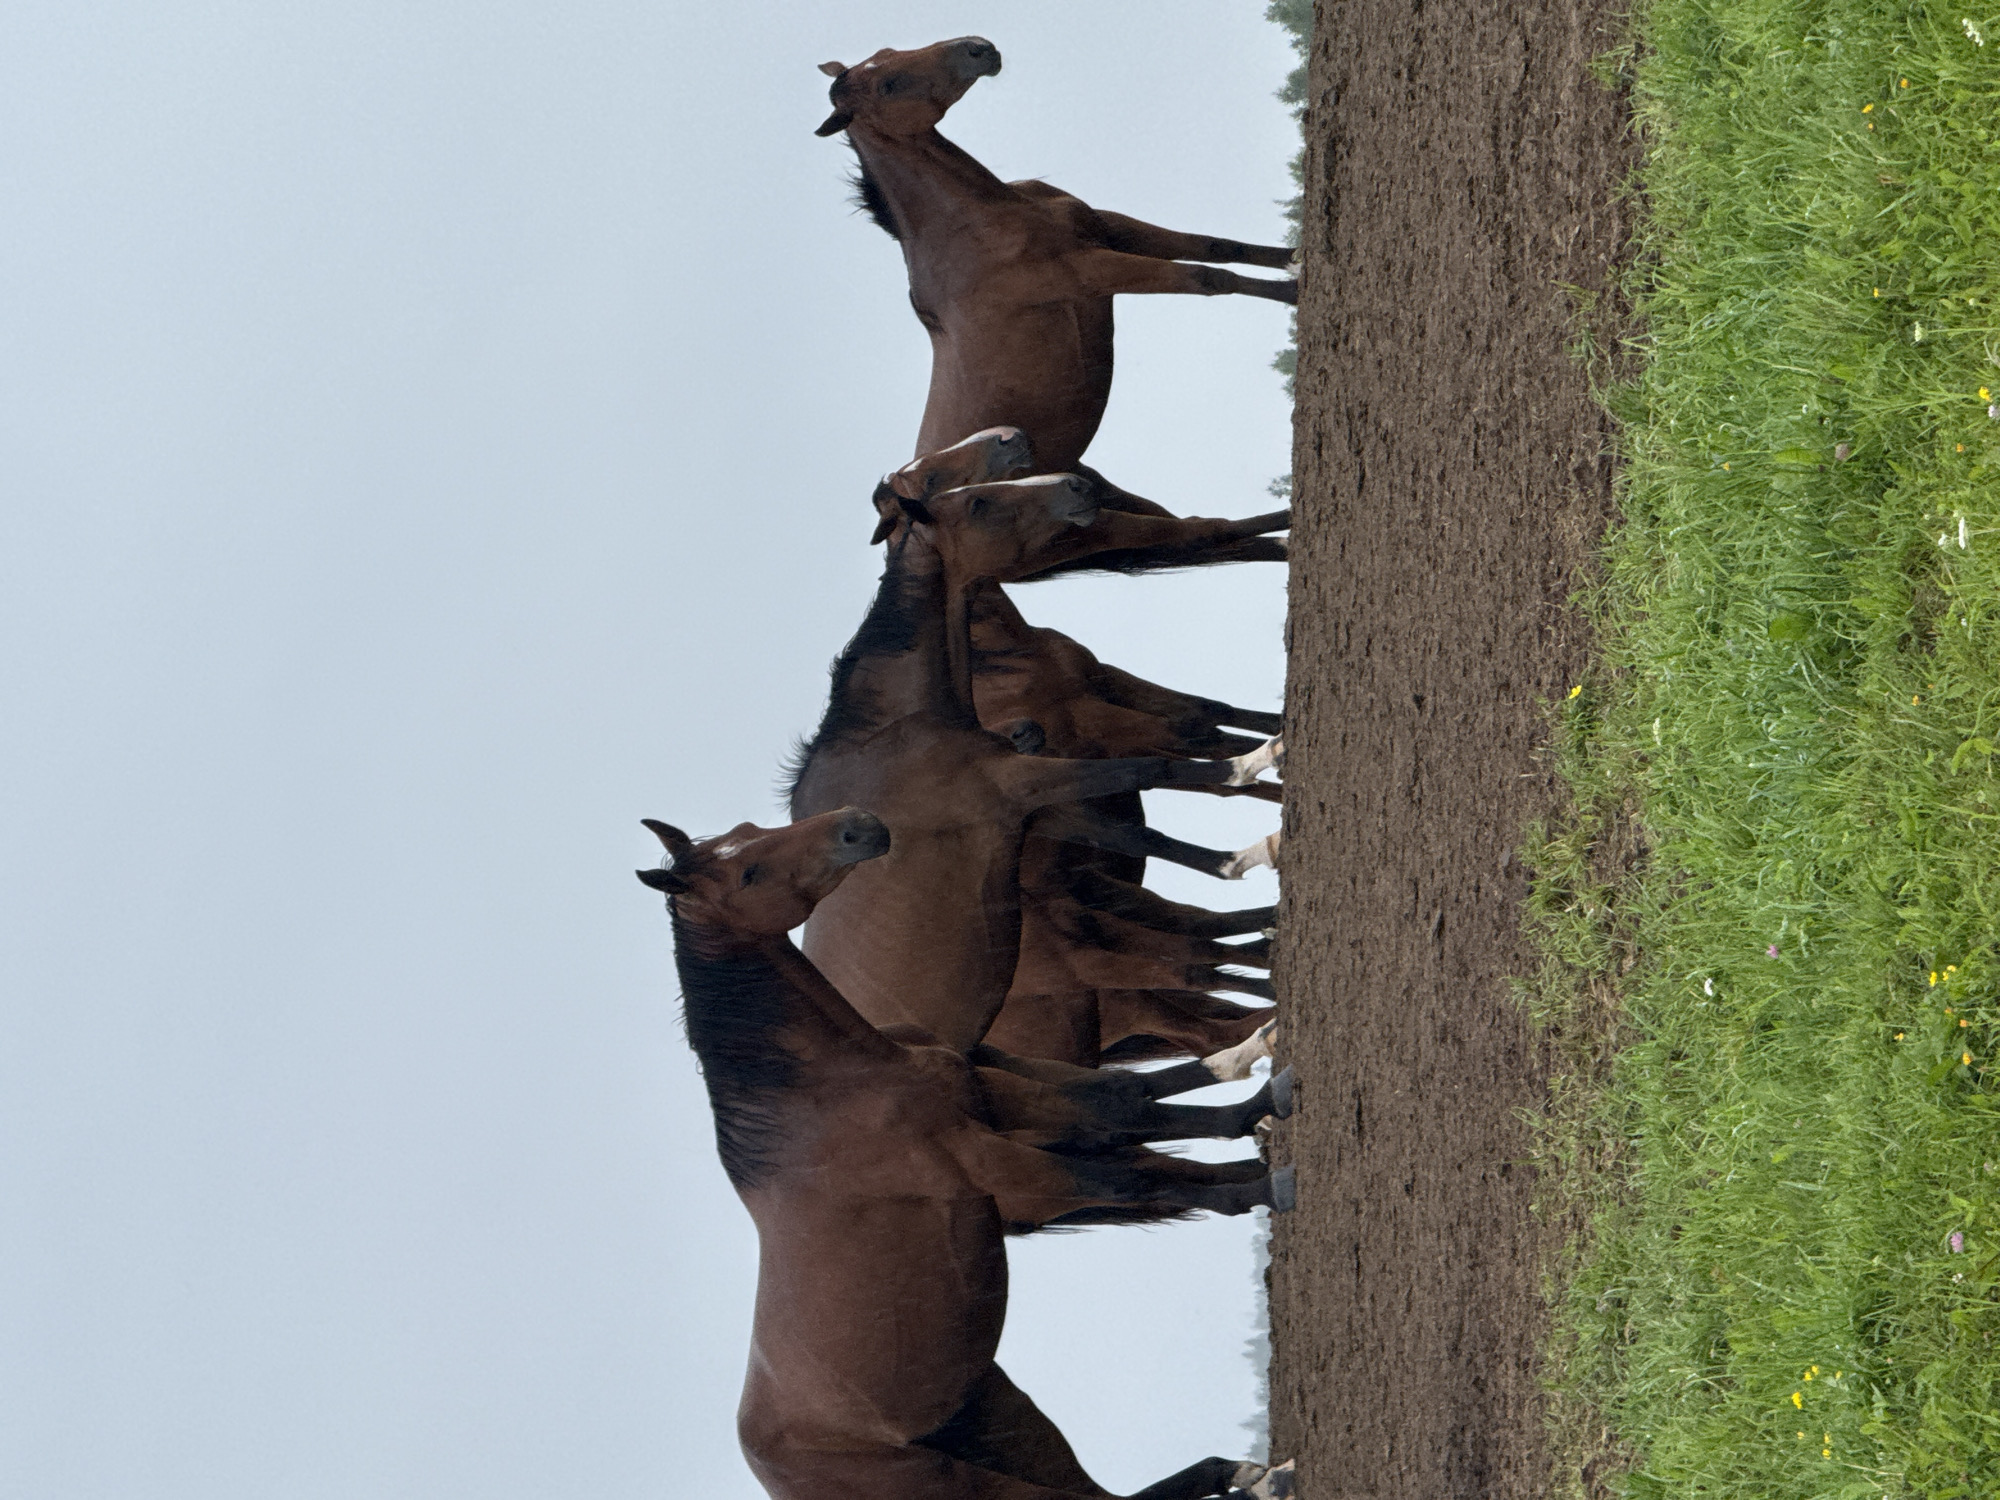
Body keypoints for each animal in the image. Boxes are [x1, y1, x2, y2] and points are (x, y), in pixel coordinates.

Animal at [636, 808, 1290, 1500]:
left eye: (749, 829)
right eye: (748, 873)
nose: (855, 825)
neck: (830, 1089)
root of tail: (774, 1470)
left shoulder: (999, 1098)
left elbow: (1126, 1101)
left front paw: (1257, 1080)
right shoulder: (990, 1160)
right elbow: (1127, 1175)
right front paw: (1264, 1182)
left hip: (1010, 1430)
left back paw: (1252, 1472)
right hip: (979, 1485)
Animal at [815, 37, 1296, 473]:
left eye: (889, 52)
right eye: (889, 85)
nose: (976, 48)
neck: (979, 223)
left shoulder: (1110, 229)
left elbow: (1218, 247)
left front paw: (1294, 256)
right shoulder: (1090, 271)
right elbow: (1209, 278)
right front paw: (1294, 291)